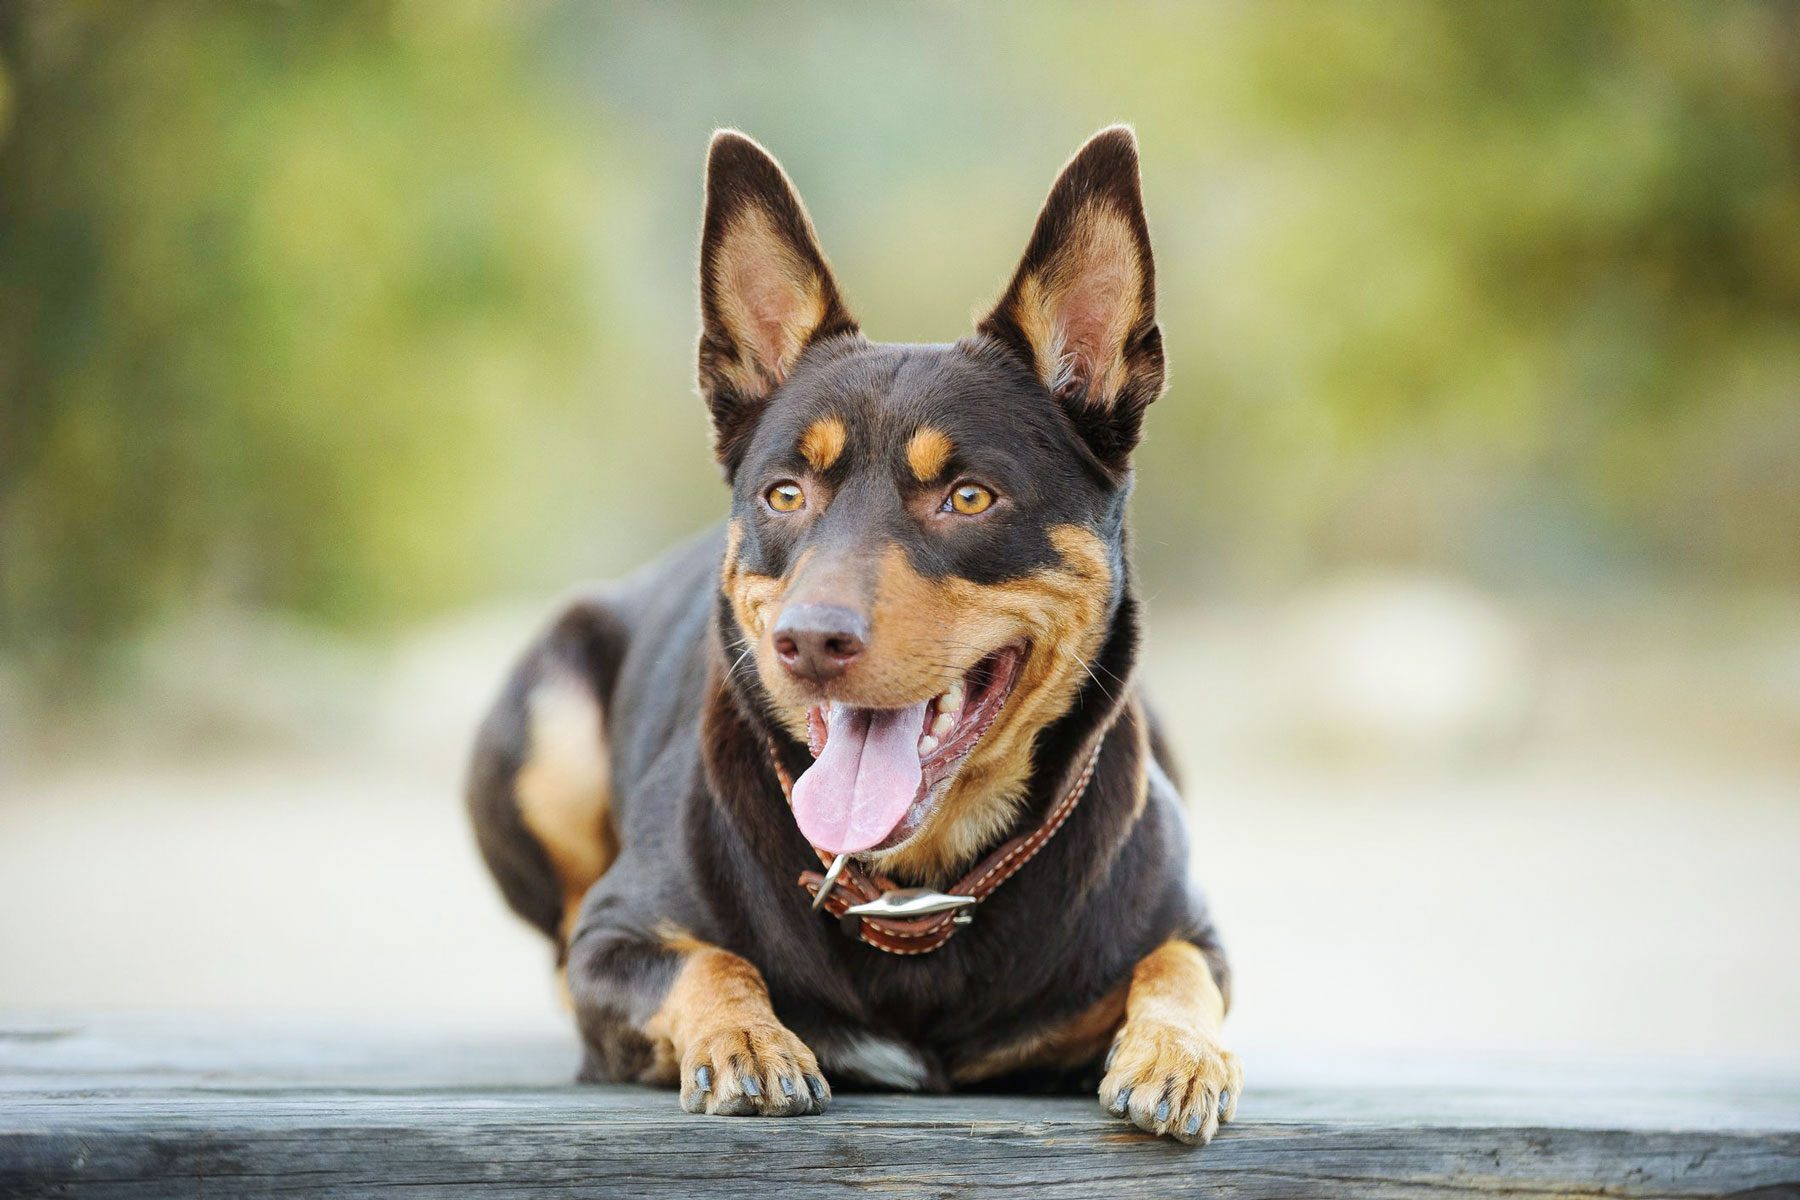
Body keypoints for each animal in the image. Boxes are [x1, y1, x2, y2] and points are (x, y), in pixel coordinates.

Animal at [471, 126, 1245, 1151]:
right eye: (785, 494)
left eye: (969, 497)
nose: (809, 640)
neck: (912, 887)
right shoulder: (615, 941)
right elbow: (709, 962)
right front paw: (748, 1039)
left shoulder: (1196, 935)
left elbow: (1178, 971)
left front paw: (1177, 1053)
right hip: (547, 728)